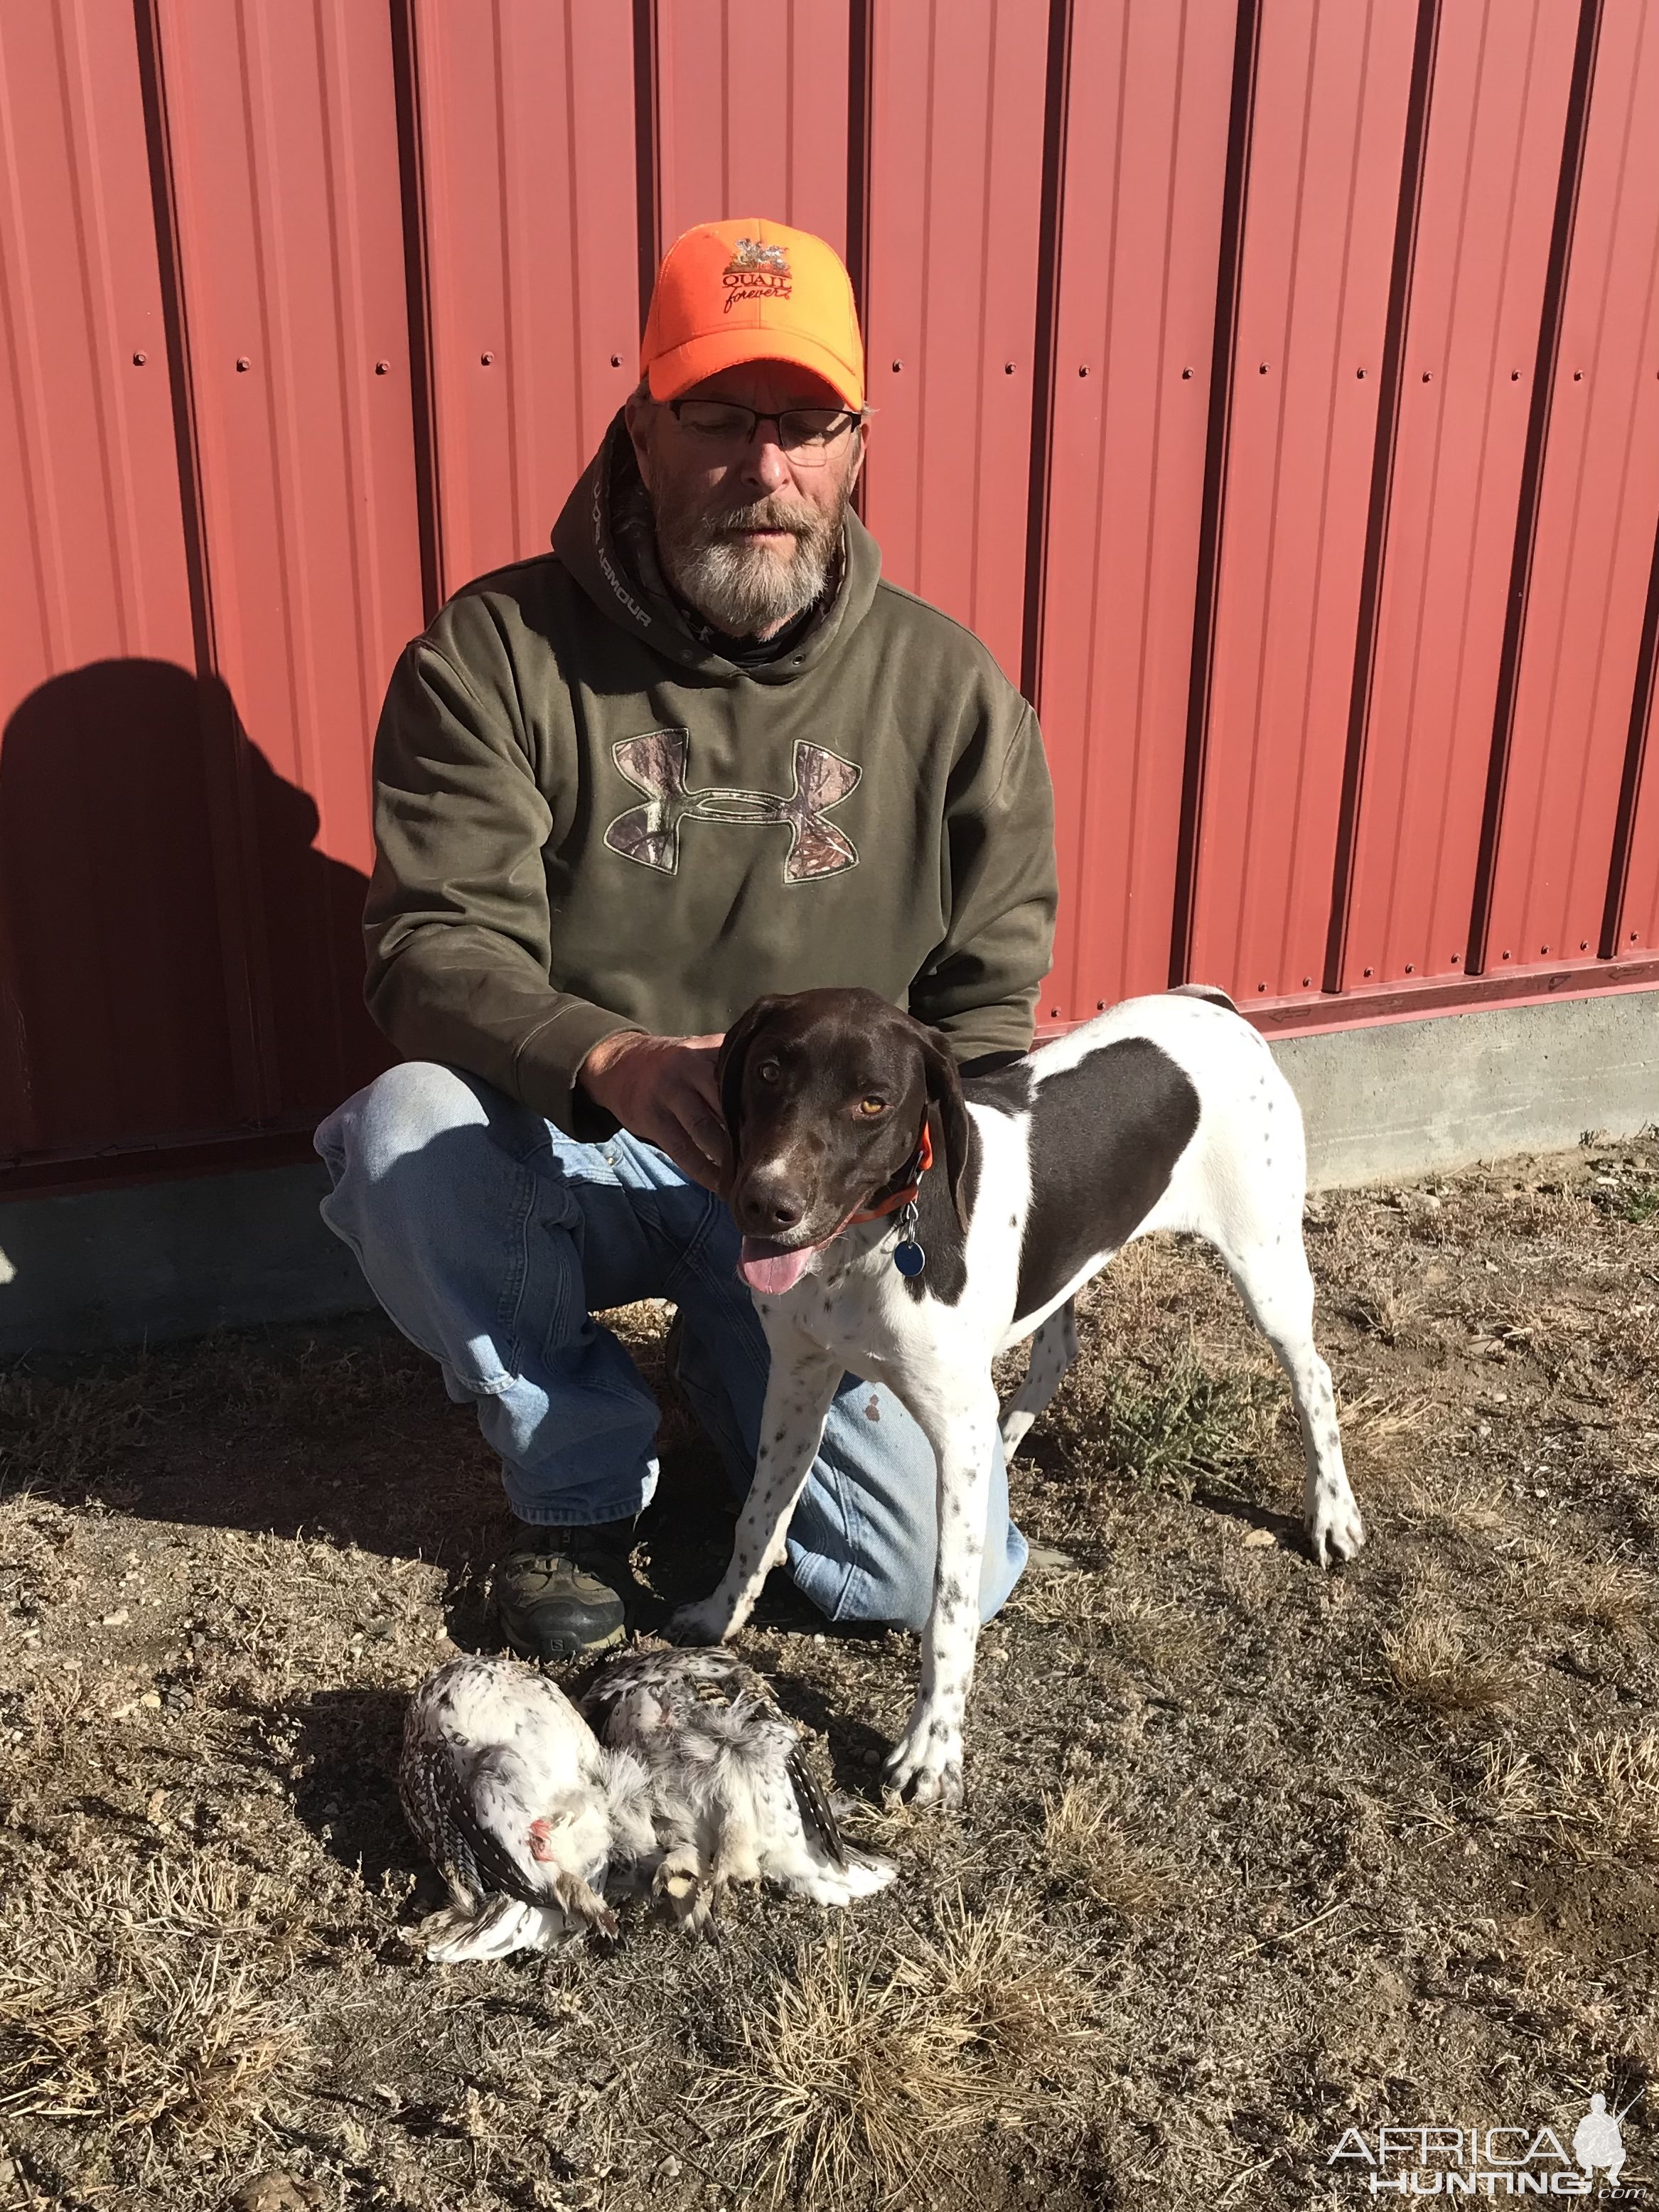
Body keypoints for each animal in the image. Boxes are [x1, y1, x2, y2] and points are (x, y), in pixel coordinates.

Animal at [667, 991, 1371, 1813]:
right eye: (770, 1071)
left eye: (873, 1101)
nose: (765, 1205)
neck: (870, 1246)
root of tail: (1214, 1002)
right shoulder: (796, 1380)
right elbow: (757, 1517)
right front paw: (721, 1614)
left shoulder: (948, 1430)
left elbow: (949, 1604)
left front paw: (932, 1748)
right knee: (1052, 1357)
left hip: (1266, 1264)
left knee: (1315, 1377)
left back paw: (1332, 1514)